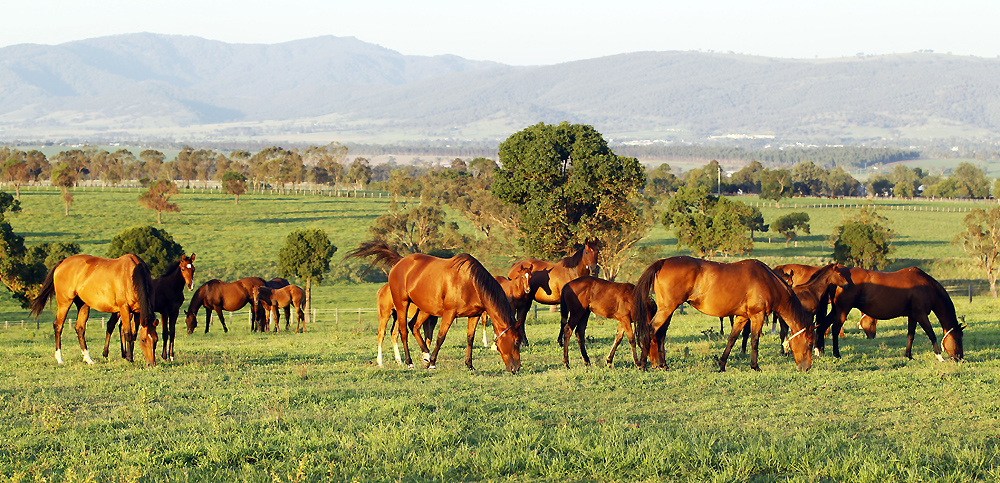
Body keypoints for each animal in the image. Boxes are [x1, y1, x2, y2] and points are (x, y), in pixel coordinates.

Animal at [28, 254, 158, 366]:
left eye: (156, 340)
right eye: (143, 340)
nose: (151, 364)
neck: (131, 274)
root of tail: (62, 262)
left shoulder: (137, 311)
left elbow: (134, 334)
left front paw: (128, 356)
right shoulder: (124, 308)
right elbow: (128, 333)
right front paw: (129, 358)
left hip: (83, 305)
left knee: (80, 328)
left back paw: (88, 359)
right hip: (64, 303)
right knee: (58, 326)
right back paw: (60, 359)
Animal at [346, 241, 522, 373]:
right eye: (516, 342)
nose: (516, 368)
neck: (471, 282)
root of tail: (400, 262)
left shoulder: (474, 315)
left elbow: (470, 338)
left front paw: (469, 365)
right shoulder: (449, 313)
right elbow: (440, 337)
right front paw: (432, 363)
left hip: (423, 309)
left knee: (413, 327)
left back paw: (425, 356)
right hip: (401, 306)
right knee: (401, 332)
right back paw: (409, 362)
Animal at [633, 256, 815, 372]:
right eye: (810, 344)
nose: (806, 368)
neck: (767, 280)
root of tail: (663, 262)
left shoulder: (742, 317)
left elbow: (732, 339)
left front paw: (721, 364)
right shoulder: (757, 316)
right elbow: (754, 341)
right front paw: (755, 366)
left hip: (668, 310)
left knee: (661, 334)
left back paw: (663, 365)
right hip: (667, 309)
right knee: (650, 331)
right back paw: (643, 365)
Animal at [817, 266, 964, 361]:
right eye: (958, 338)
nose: (960, 358)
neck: (926, 286)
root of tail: (836, 278)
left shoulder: (913, 316)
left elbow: (911, 335)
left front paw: (909, 355)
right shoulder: (921, 315)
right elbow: (931, 334)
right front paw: (939, 356)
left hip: (836, 310)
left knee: (822, 325)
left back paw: (819, 351)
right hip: (843, 309)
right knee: (835, 329)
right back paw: (836, 354)